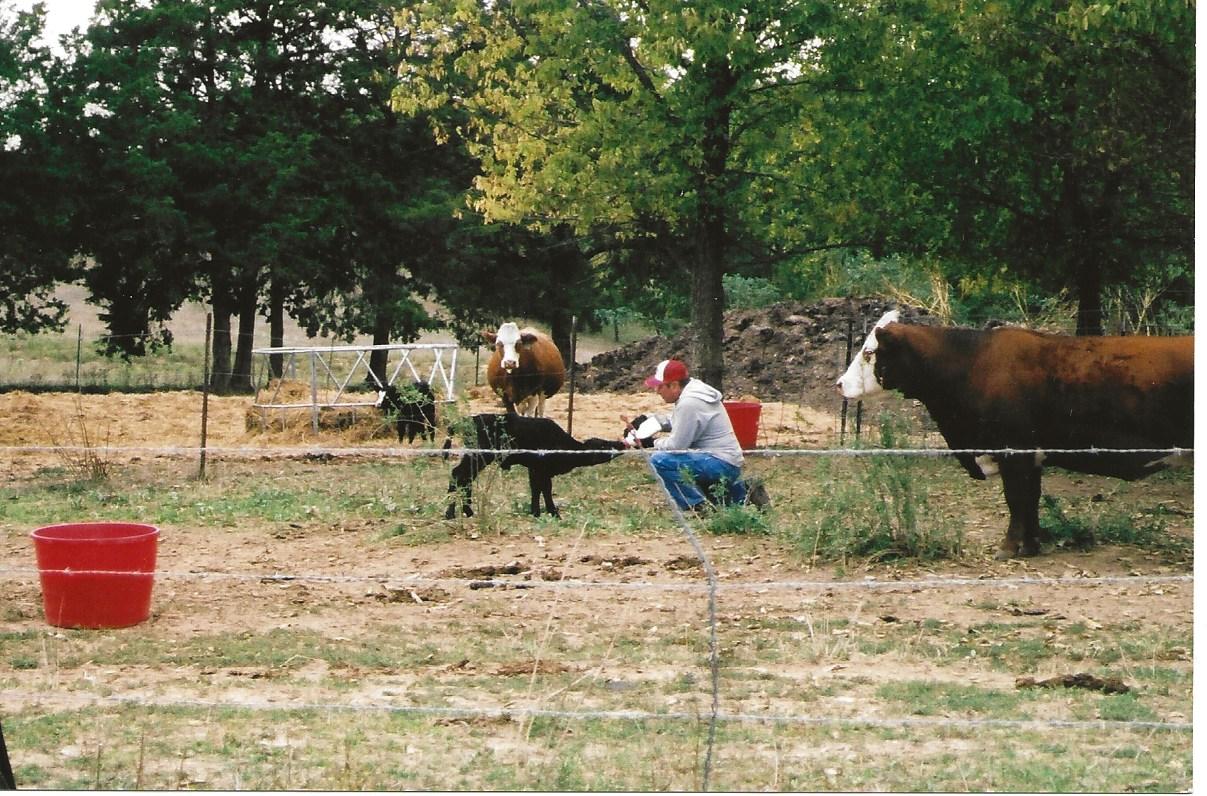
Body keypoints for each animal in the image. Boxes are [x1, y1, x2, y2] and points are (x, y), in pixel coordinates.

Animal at [444, 413, 625, 519]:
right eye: (603, 445)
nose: (621, 444)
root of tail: (468, 420)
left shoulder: (534, 468)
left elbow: (536, 489)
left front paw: (536, 511)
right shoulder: (541, 468)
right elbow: (545, 489)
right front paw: (552, 513)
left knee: (465, 478)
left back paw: (467, 511)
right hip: (479, 456)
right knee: (459, 475)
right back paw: (451, 513)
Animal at [837, 310, 1193, 559]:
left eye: (869, 353)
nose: (840, 383)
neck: (971, 364)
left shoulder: (1013, 450)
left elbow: (1016, 499)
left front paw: (1008, 547)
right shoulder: (1031, 456)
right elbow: (1030, 499)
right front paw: (1031, 546)